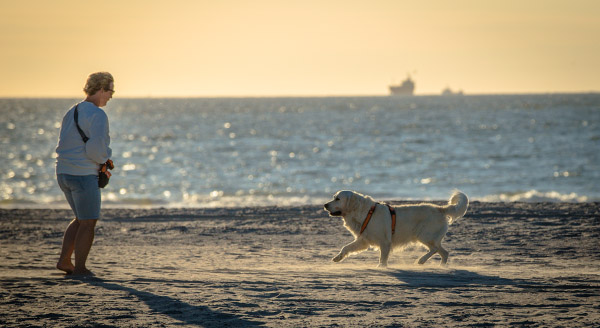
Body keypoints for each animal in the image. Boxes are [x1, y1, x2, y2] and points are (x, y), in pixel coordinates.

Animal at [324, 190, 468, 266]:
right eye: (333, 197)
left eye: (338, 199)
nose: (325, 205)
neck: (365, 212)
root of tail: (440, 208)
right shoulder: (364, 240)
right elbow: (346, 247)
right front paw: (337, 258)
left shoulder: (385, 242)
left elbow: (382, 259)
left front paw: (381, 267)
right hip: (429, 237)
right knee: (444, 252)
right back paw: (440, 266)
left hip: (424, 235)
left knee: (436, 250)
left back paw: (421, 260)